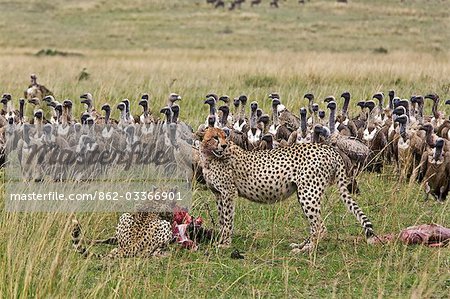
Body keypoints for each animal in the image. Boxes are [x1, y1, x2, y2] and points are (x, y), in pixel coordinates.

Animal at [200, 127, 376, 252]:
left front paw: (225, 244)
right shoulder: (218, 195)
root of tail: (329, 149)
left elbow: (228, 220)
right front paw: (220, 240)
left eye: (224, 137)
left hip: (308, 194)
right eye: (215, 137)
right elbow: (222, 220)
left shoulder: (228, 193)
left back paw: (308, 249)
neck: (209, 156)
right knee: (317, 225)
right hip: (304, 193)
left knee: (319, 226)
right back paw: (302, 245)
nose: (223, 145)